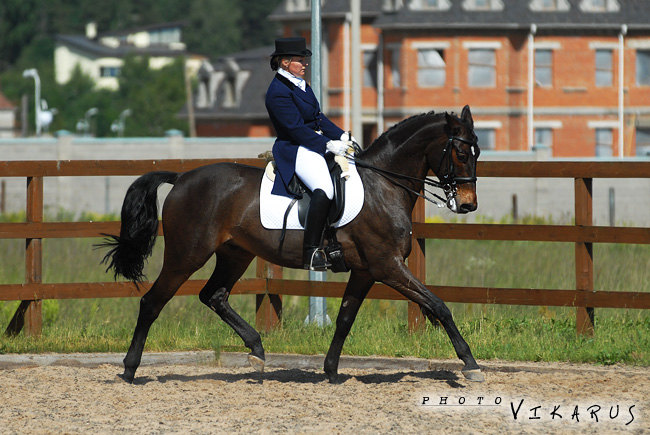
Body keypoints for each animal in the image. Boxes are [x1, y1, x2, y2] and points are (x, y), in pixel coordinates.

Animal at [101, 105, 484, 384]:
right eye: (461, 153)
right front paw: (470, 363)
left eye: (477, 151)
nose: (468, 204)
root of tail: (181, 178)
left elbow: (345, 318)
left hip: (235, 254)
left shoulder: (365, 270)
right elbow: (438, 305)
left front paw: (331, 371)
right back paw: (130, 369)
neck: (383, 186)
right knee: (153, 302)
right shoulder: (387, 265)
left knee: (214, 295)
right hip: (187, 254)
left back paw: (256, 348)